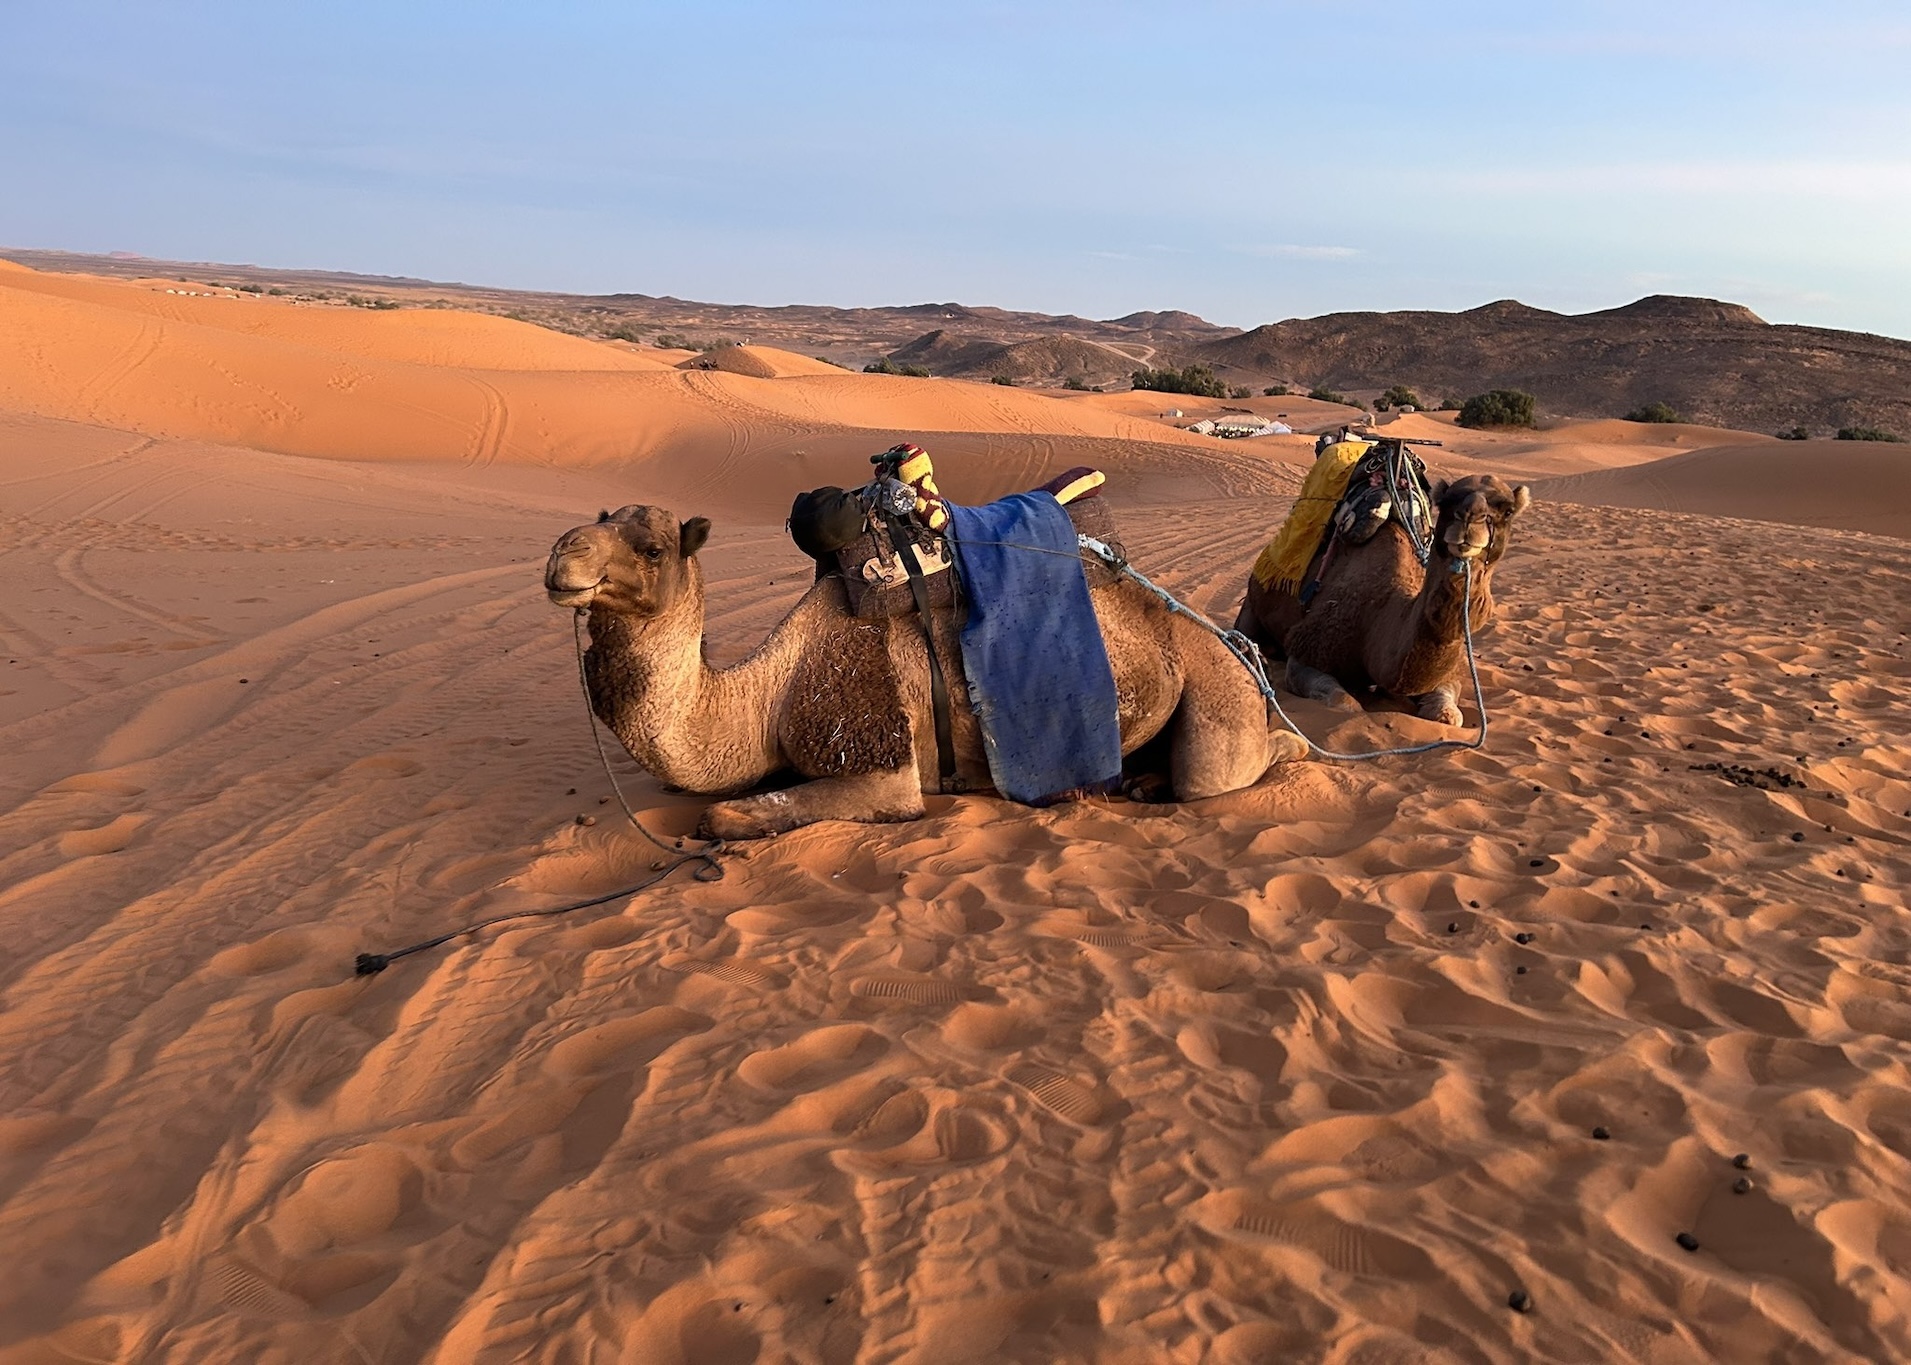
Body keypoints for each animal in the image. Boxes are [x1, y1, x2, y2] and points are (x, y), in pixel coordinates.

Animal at [546, 500, 1307, 833]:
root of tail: (1225, 641)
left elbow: (722, 816)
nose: (561, 554)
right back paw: (1142, 782)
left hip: (1218, 697)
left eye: (651, 547)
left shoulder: (876, 754)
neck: (766, 693)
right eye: (603, 518)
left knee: (1232, 768)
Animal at [1230, 474, 1528, 722]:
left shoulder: (1449, 671)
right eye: (1445, 503)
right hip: (1252, 605)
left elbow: (1449, 713)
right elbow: (1345, 703)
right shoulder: (1307, 650)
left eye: (1507, 510)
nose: (1468, 519)